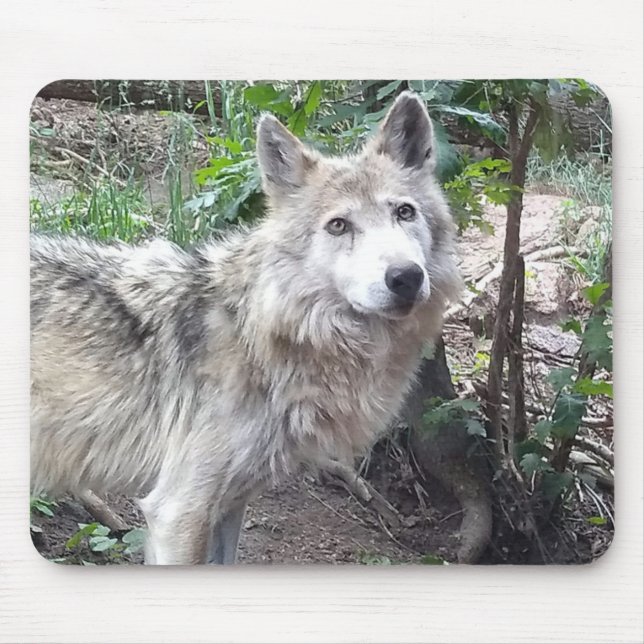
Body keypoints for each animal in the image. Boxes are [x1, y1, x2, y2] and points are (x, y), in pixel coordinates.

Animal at [30, 91, 461, 565]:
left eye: (404, 212)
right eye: (338, 225)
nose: (405, 277)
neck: (257, 337)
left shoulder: (230, 503)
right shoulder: (179, 509)